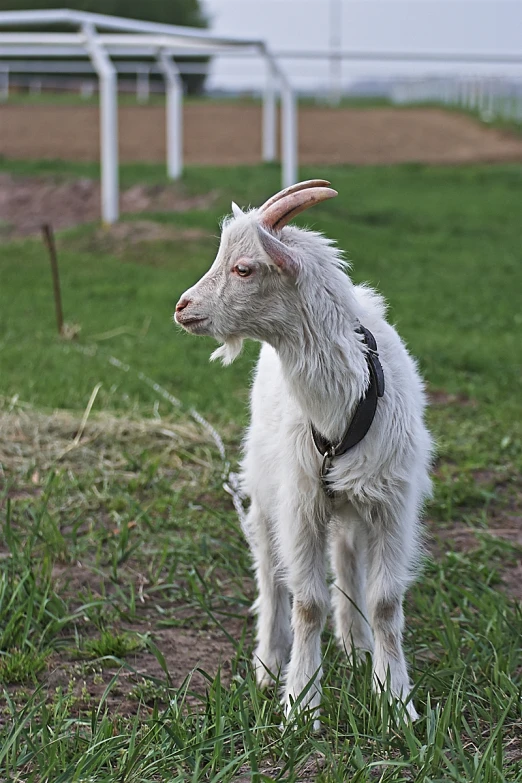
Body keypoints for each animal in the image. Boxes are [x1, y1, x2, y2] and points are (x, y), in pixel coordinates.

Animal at [175, 181, 430, 724]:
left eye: (243, 268)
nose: (182, 307)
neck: (346, 404)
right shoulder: (300, 502)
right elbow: (306, 603)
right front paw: (299, 703)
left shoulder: (391, 502)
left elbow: (385, 602)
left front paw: (395, 700)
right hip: (265, 487)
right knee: (271, 578)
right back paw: (269, 663)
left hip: (349, 500)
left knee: (346, 557)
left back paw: (356, 646)